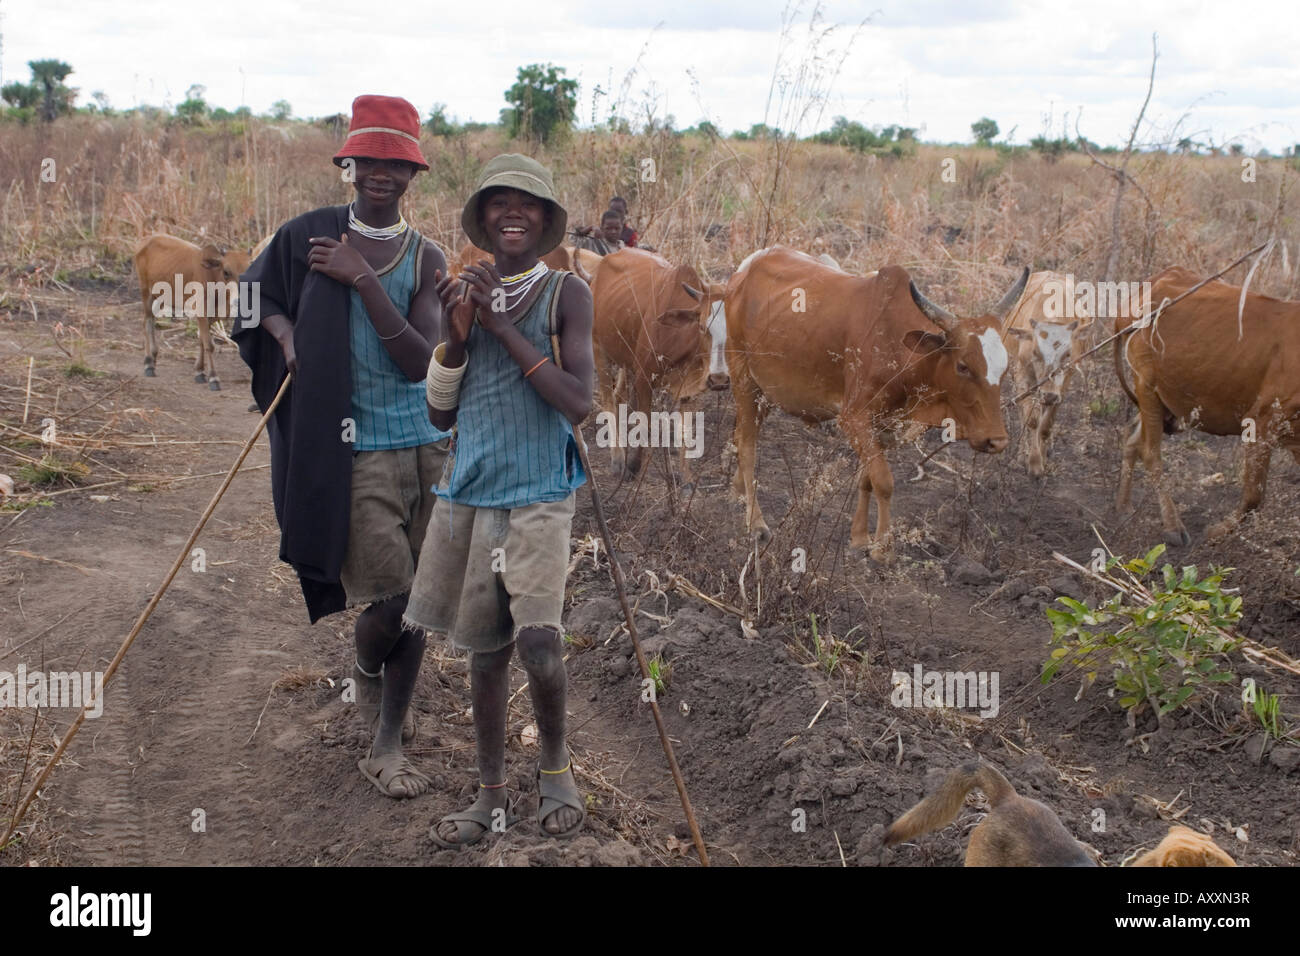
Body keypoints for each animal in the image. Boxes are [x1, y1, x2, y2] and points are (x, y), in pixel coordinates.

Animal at [134, 234, 250, 390]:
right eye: (226, 272)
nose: (238, 301)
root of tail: (145, 240)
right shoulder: (201, 311)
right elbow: (209, 345)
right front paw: (213, 378)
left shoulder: (210, 316)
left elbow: (201, 340)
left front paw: (199, 372)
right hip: (146, 291)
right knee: (147, 322)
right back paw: (148, 364)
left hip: (160, 297)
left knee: (149, 321)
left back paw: (153, 358)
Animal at [592, 247, 733, 486]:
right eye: (702, 326)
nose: (720, 379)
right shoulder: (644, 378)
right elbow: (645, 423)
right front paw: (633, 467)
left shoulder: (690, 389)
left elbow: (685, 431)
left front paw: (686, 479)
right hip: (598, 349)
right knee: (608, 399)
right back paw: (617, 459)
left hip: (625, 361)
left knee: (619, 395)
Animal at [728, 248, 1019, 561]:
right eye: (963, 366)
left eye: (1004, 368)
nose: (997, 441)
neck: (899, 347)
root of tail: (745, 270)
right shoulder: (854, 418)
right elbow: (883, 480)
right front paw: (883, 549)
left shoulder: (884, 425)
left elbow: (866, 478)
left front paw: (859, 538)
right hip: (743, 379)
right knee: (747, 446)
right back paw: (756, 523)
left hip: (765, 393)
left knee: (740, 436)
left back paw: (739, 491)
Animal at [1118, 267, 1300, 546]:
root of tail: (1158, 279)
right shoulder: (1262, 420)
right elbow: (1253, 496)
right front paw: (1216, 531)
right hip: (1146, 386)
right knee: (1149, 452)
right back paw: (1173, 527)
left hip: (1163, 400)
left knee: (1131, 438)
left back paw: (1124, 508)